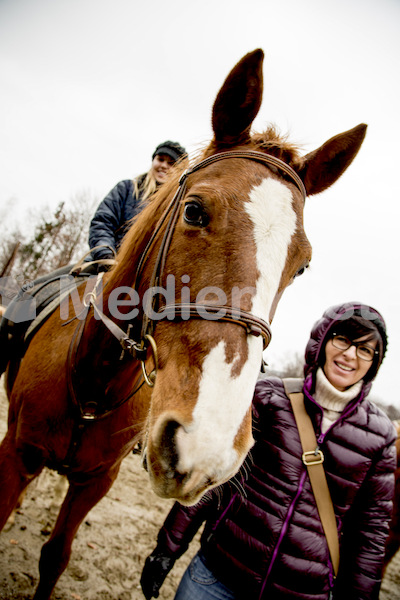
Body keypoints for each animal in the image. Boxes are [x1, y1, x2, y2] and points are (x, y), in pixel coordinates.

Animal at [0, 49, 368, 596]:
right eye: (194, 210)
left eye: (301, 265)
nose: (205, 445)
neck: (94, 382)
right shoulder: (16, 453)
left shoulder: (96, 482)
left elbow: (54, 557)